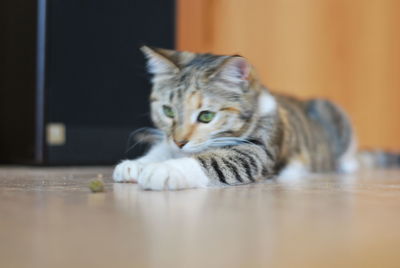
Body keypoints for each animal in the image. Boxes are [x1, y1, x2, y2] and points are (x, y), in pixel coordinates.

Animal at [111, 45, 358, 188]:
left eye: (206, 116)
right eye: (168, 111)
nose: (180, 141)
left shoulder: (259, 149)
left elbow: (216, 160)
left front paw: (164, 169)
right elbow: (163, 147)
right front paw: (137, 165)